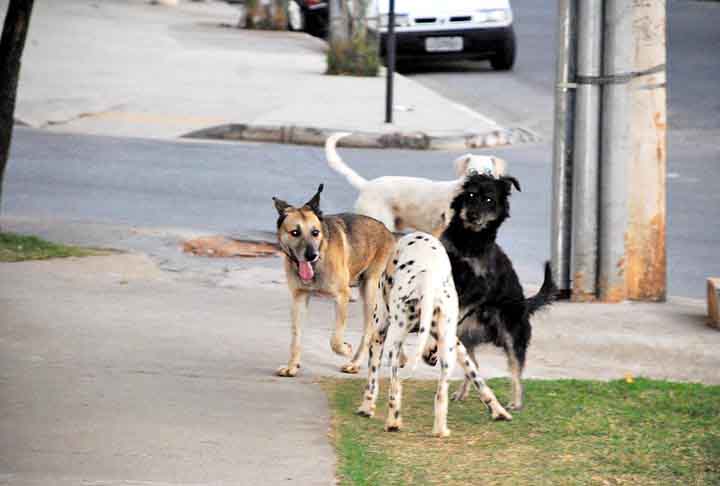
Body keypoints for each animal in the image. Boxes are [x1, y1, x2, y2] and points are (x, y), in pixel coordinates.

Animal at [272, 183, 394, 376]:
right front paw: (292, 366)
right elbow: (296, 337)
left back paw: (355, 363)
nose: (312, 255)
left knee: (370, 330)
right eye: (295, 232)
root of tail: (388, 232)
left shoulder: (342, 297)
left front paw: (346, 348)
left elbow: (335, 340)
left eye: (315, 232)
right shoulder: (299, 298)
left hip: (370, 290)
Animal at [356, 232, 512, 436]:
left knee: (395, 387)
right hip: (447, 355)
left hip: (392, 345)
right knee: (440, 395)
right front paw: (498, 411)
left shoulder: (378, 335)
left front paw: (366, 408)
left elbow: (372, 381)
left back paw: (393, 422)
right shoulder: (456, 344)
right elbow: (477, 377)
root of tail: (427, 280)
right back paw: (440, 430)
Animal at [438, 173, 556, 408]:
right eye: (471, 195)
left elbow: (465, 301)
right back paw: (463, 392)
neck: (468, 242)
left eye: (489, 200)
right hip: (466, 339)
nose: (472, 215)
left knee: (516, 369)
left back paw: (515, 402)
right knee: (472, 366)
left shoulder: (482, 287)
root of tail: (525, 304)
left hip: (511, 335)